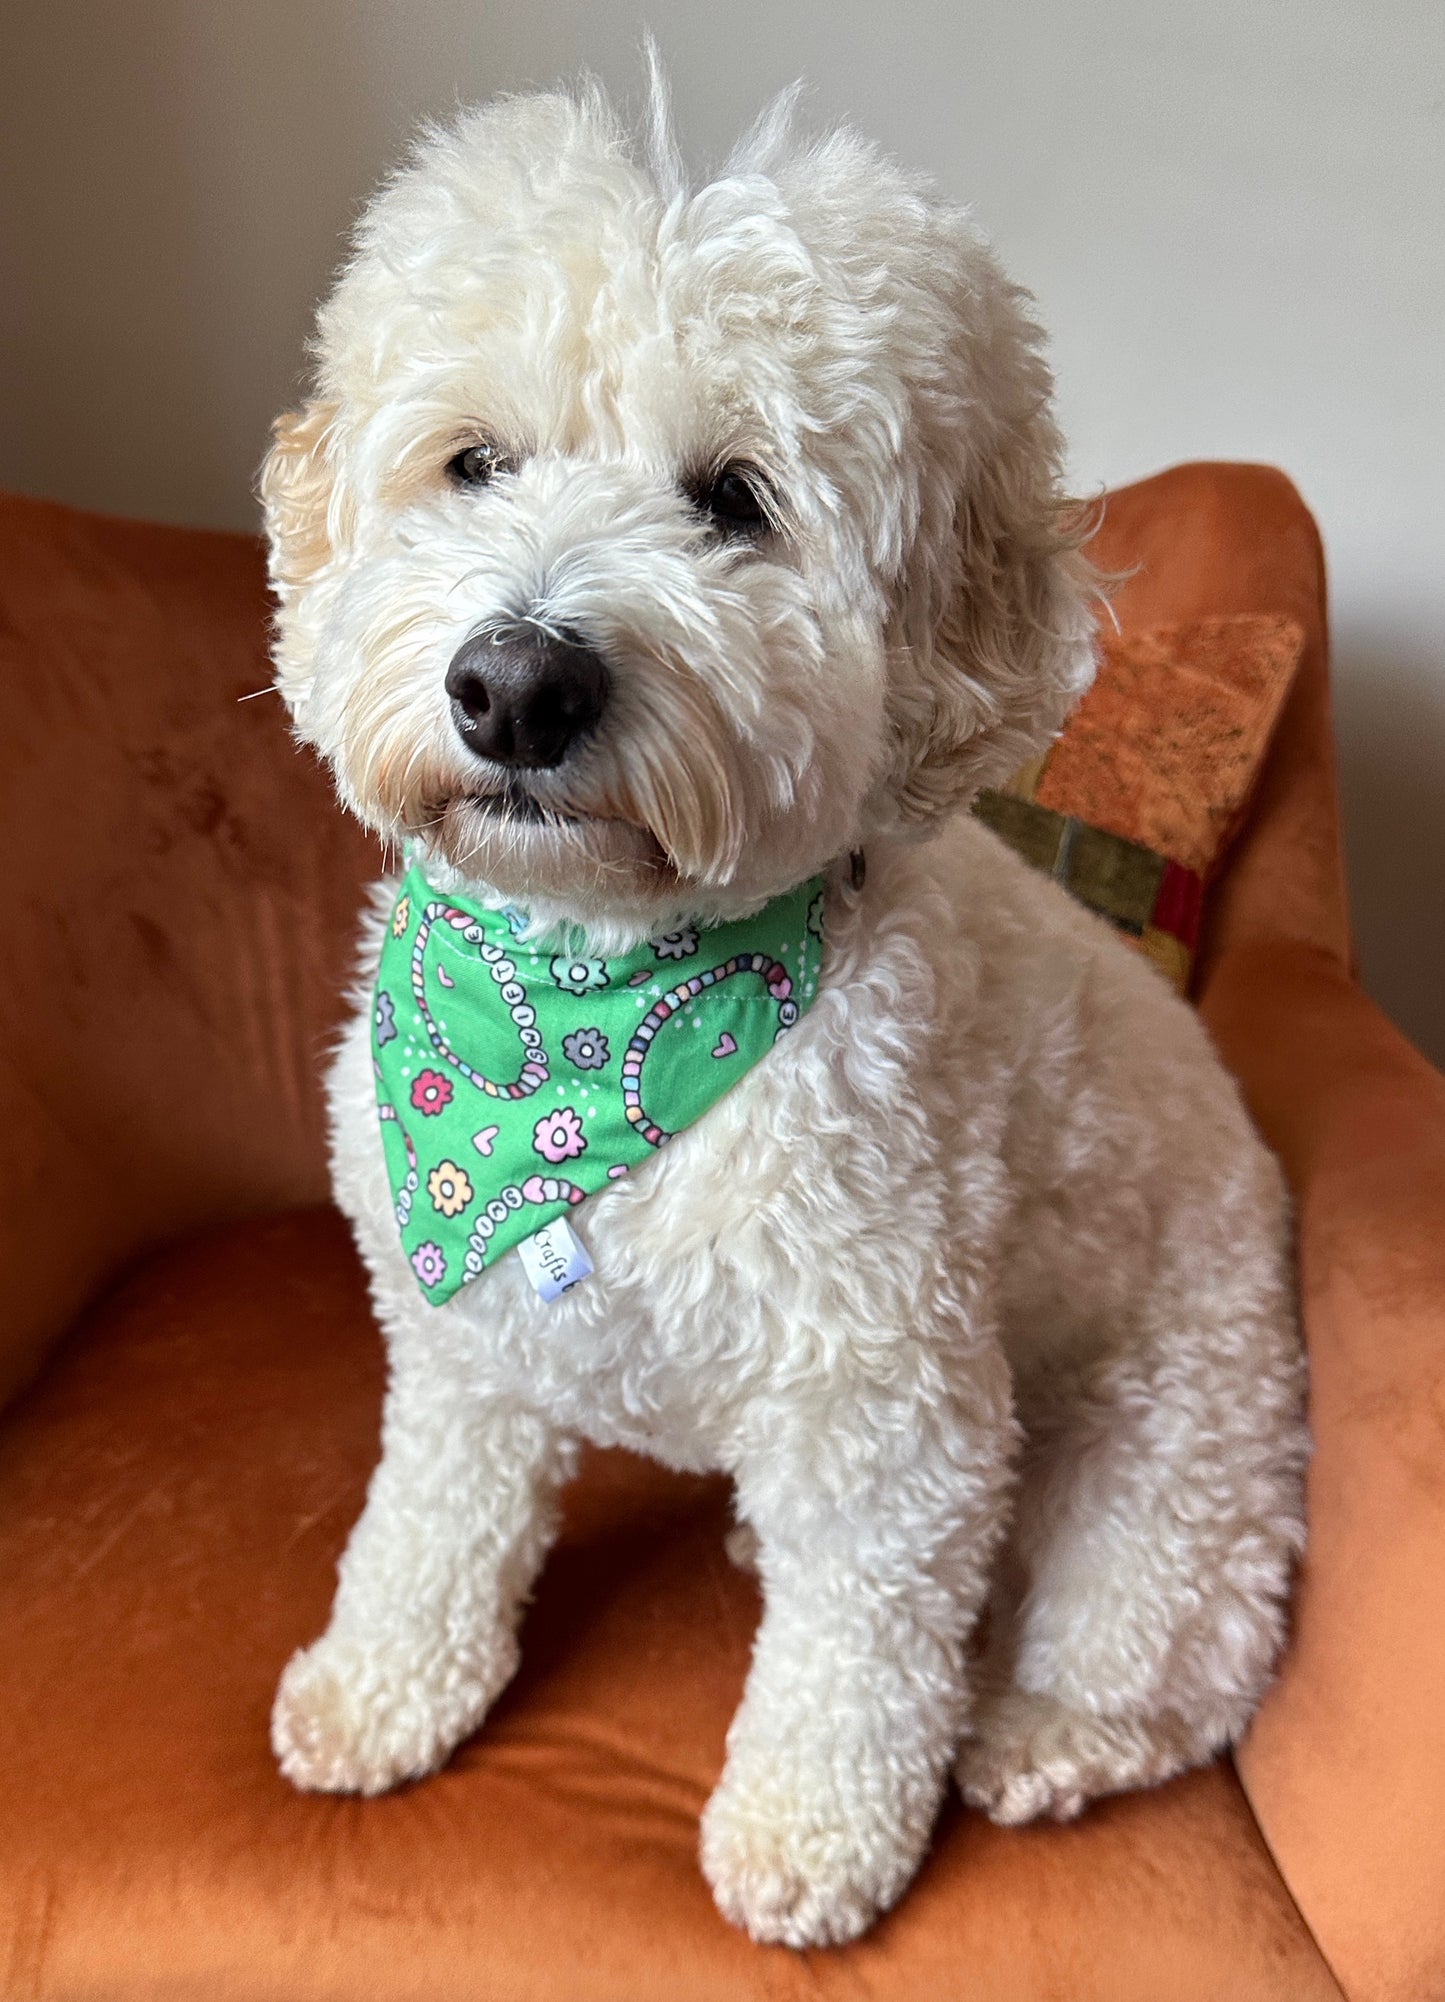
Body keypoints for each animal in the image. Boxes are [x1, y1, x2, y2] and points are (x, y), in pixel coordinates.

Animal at [258, 74, 1304, 1937]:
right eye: (476, 461)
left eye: (736, 499)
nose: (516, 683)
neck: (586, 1012)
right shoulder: (462, 1349)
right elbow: (430, 1523)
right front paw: (382, 1687)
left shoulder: (894, 1419)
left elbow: (857, 1661)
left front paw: (814, 1839)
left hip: (1168, 1467)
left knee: (1167, 1665)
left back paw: (1044, 1735)